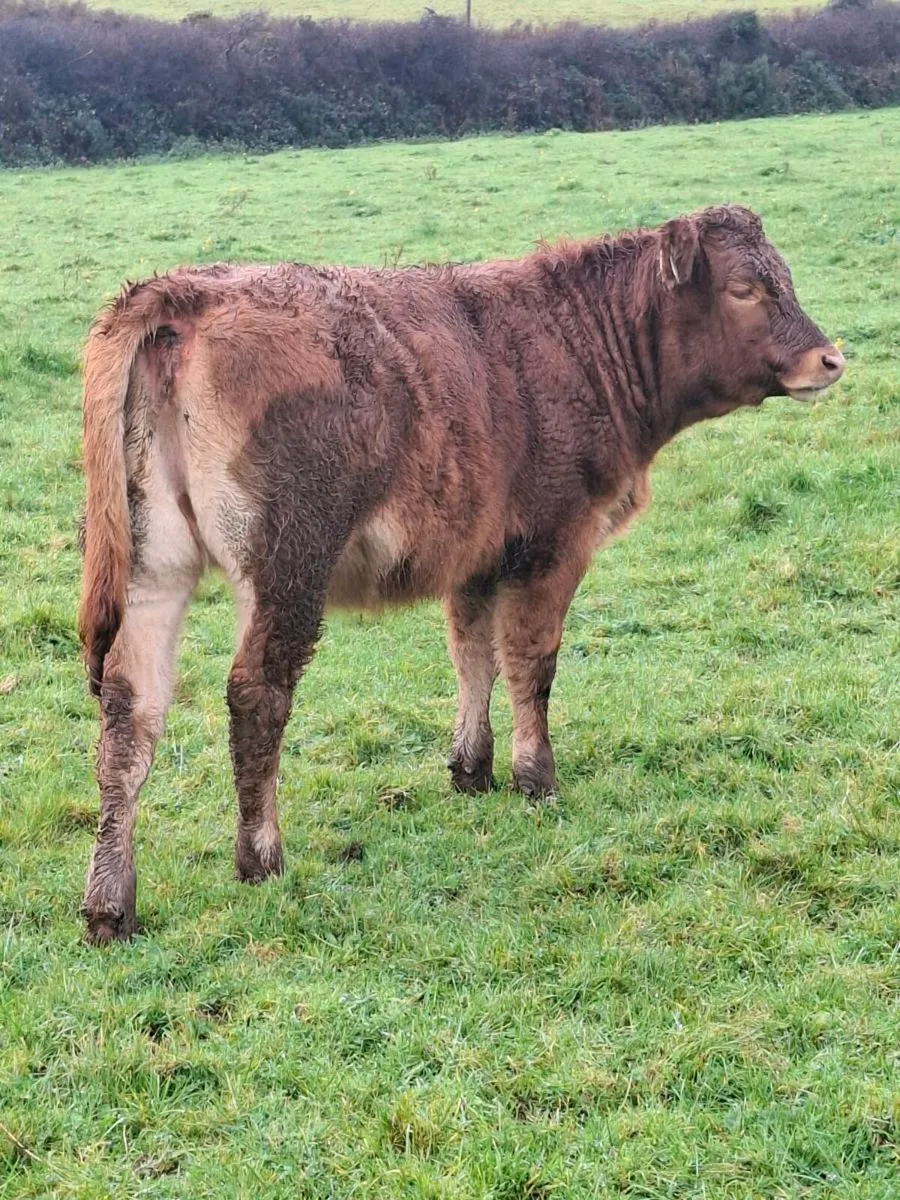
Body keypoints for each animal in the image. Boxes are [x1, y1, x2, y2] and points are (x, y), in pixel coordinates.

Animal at [78, 205, 844, 942]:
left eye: (784, 276)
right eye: (745, 289)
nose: (830, 359)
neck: (575, 343)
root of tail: (187, 291)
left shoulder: (476, 554)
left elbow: (473, 654)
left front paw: (471, 768)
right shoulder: (553, 543)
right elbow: (531, 661)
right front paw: (537, 777)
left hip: (154, 565)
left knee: (130, 708)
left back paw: (111, 906)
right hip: (287, 562)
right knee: (255, 694)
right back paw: (260, 857)